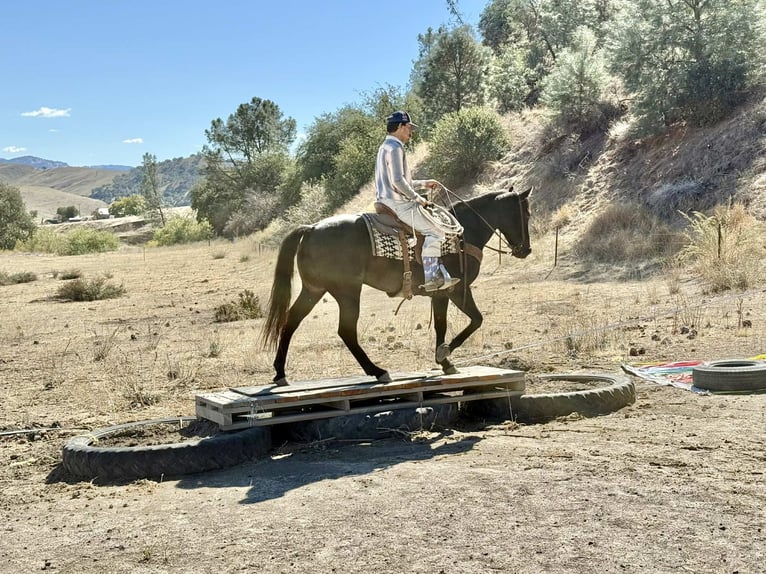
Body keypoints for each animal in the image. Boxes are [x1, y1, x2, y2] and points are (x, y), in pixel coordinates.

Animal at [261, 187, 532, 385]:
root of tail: (311, 228)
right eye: (526, 214)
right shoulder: (455, 290)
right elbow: (474, 320)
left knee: (290, 321)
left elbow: (444, 325)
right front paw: (444, 354)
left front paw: (445, 360)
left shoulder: (440, 294)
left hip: (314, 290)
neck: (463, 235)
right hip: (347, 292)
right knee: (346, 331)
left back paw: (280, 373)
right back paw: (378, 371)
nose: (525, 250)